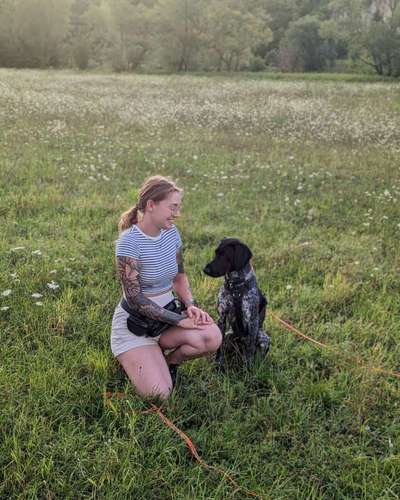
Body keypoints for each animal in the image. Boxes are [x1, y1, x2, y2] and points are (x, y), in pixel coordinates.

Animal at [203, 236, 272, 366]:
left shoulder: (252, 321)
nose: (205, 270)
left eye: (225, 255)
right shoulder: (222, 318)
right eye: (216, 253)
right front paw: (218, 364)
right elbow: (219, 347)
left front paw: (248, 368)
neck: (236, 287)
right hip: (229, 335)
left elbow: (250, 349)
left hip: (263, 337)